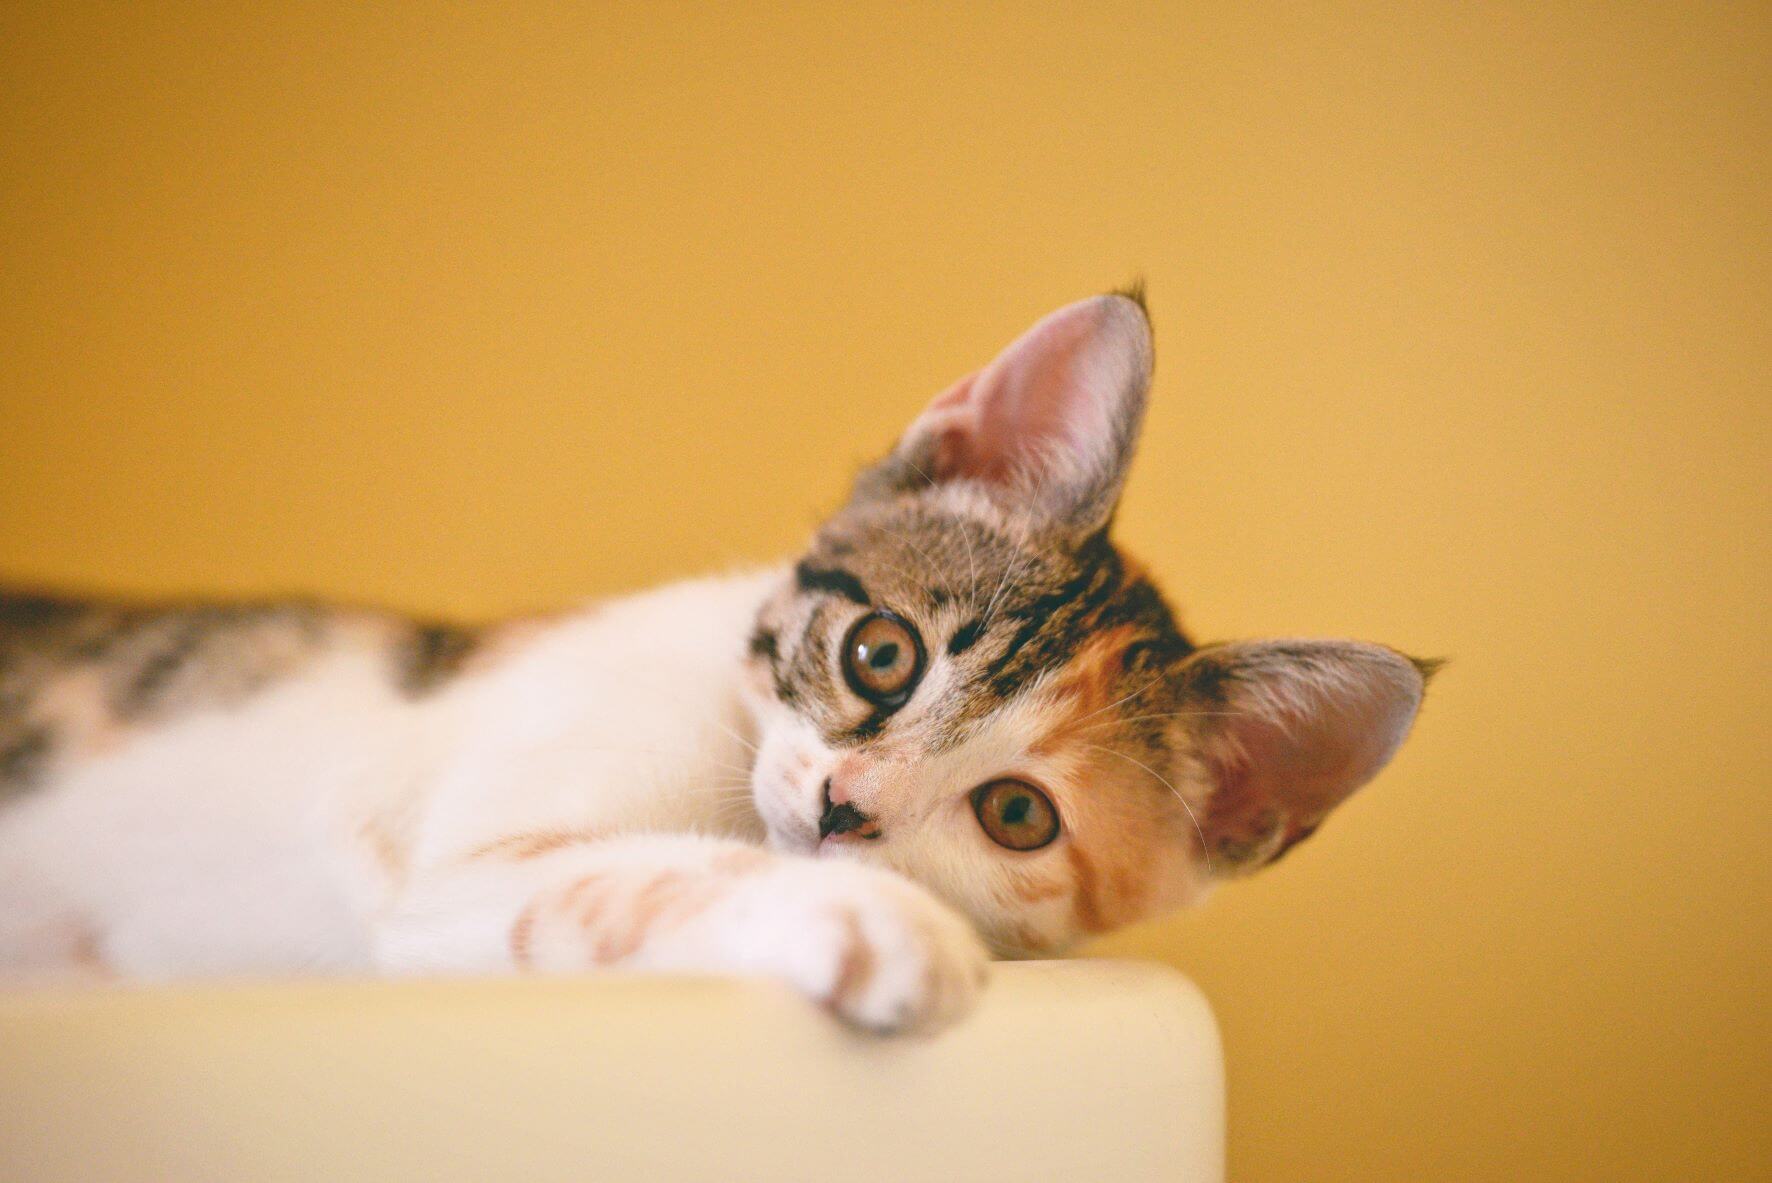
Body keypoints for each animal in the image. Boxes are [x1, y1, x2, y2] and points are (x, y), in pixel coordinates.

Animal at [0, 290, 1431, 1027]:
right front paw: (871, 925)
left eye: (1017, 814)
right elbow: (626, 873)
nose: (846, 812)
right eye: (879, 654)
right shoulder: (452, 876)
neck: (732, 772)